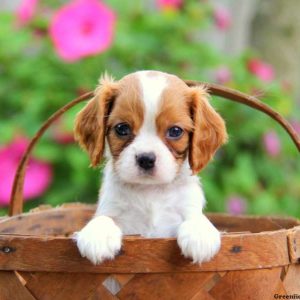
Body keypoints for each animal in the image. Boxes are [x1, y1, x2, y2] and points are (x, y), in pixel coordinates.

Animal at [73, 70, 227, 264]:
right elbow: (104, 218)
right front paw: (97, 234)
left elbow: (195, 218)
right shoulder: (113, 209)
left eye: (175, 131)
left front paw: (200, 233)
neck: (150, 191)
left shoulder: (184, 209)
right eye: (122, 128)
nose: (146, 159)